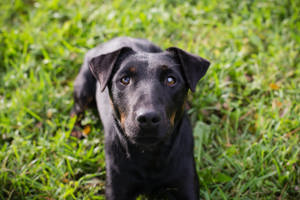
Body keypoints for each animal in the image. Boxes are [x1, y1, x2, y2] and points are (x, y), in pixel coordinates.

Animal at [71, 36, 210, 199]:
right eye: (125, 79)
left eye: (171, 80)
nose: (148, 118)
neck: (149, 154)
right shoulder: (117, 185)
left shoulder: (186, 183)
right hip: (83, 91)